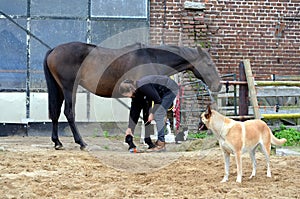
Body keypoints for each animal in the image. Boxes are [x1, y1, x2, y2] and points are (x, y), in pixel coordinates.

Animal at [43, 42, 221, 149]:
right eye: (209, 63)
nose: (218, 85)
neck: (151, 58)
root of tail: (53, 50)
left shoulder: (139, 96)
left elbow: (138, 116)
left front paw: (137, 142)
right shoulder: (143, 96)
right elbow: (141, 116)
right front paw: (143, 143)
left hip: (59, 89)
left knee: (55, 112)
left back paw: (57, 142)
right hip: (68, 88)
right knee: (68, 112)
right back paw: (81, 142)